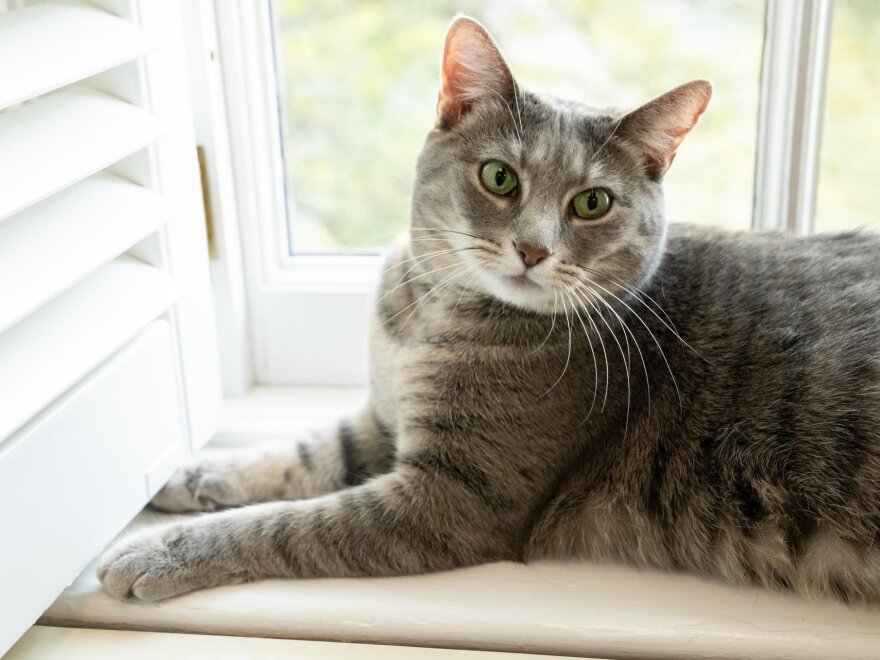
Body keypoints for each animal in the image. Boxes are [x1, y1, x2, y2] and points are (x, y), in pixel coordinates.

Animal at [98, 14, 880, 604]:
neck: (427, 314)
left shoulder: (450, 498)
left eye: (592, 203)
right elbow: (303, 455)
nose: (532, 249)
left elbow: (287, 526)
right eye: (500, 178)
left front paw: (163, 549)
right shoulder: (383, 420)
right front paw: (194, 476)